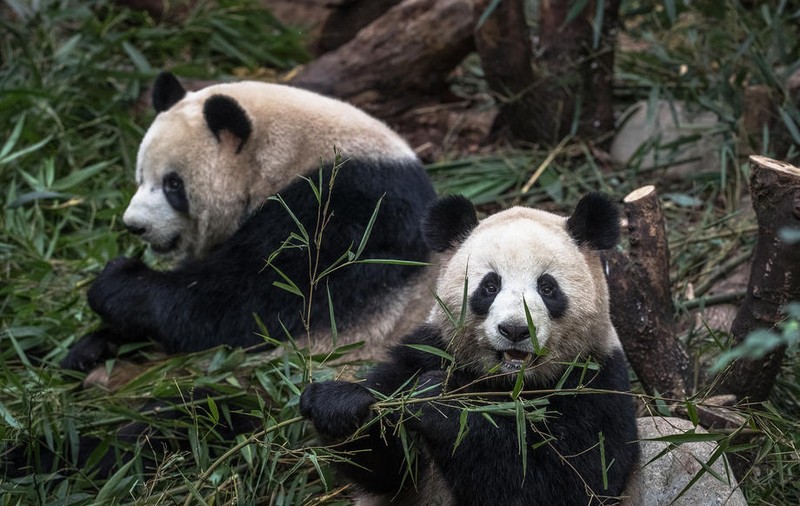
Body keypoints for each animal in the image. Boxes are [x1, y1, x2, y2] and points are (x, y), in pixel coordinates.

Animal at [61, 71, 437, 372]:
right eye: (141, 176)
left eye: (173, 185)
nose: (135, 225)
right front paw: (91, 345)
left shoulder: (349, 210)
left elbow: (246, 302)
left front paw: (117, 280)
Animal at [300, 193, 640, 505]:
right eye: (489, 286)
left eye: (547, 287)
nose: (515, 330)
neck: (510, 383)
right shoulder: (428, 350)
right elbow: (387, 471)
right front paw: (338, 405)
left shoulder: (595, 383)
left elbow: (565, 482)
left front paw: (439, 401)